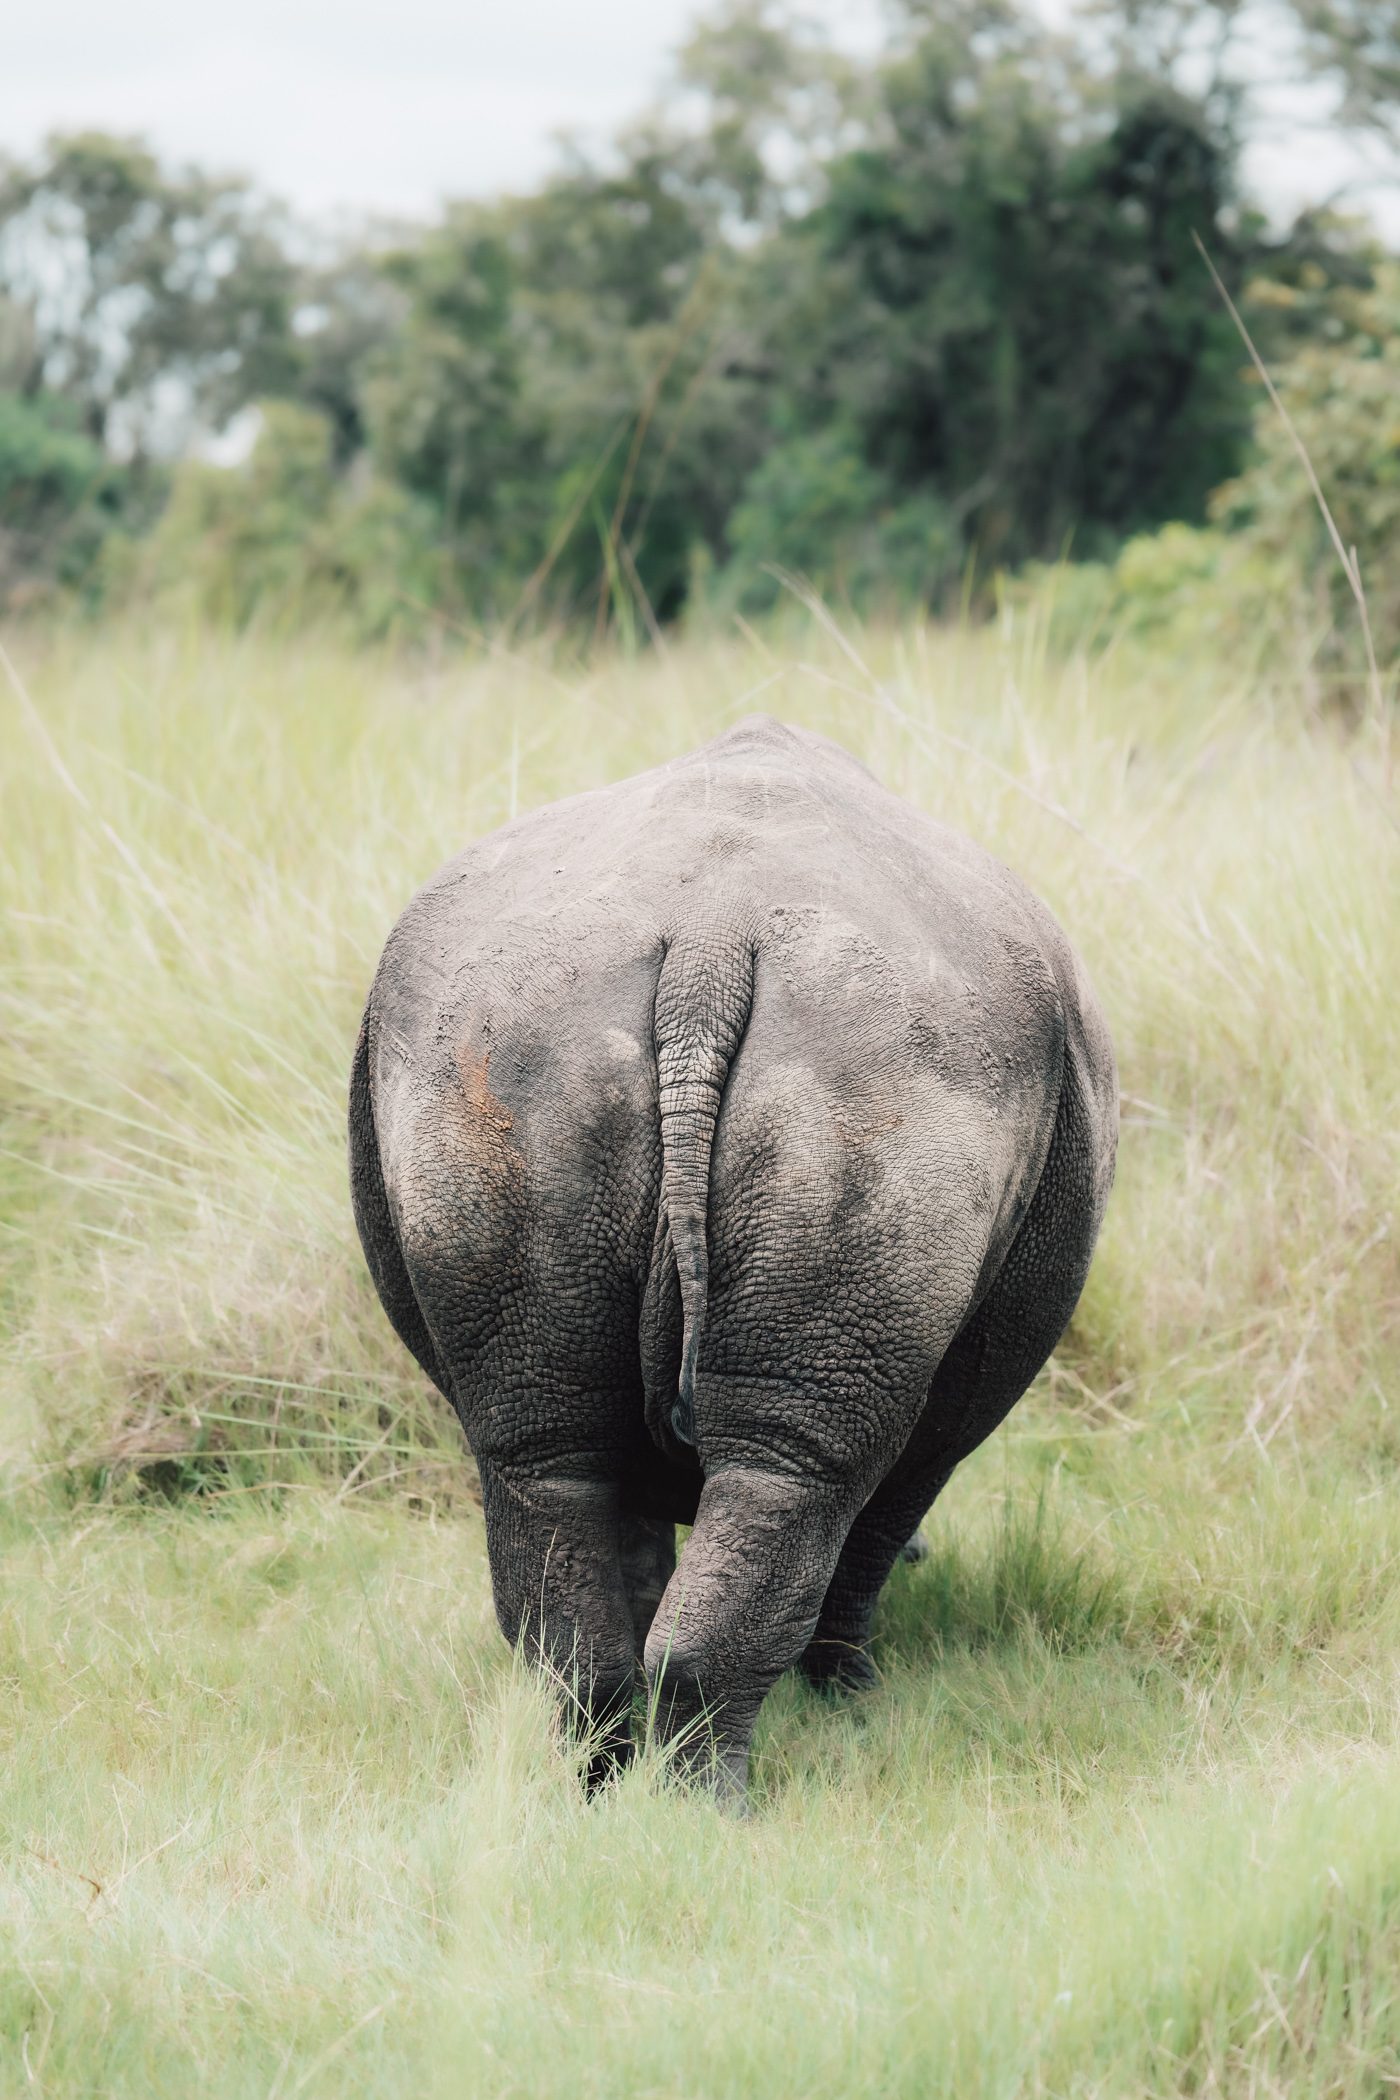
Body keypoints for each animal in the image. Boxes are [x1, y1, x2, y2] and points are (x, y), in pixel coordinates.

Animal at [349, 716, 1117, 1801]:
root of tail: (709, 946)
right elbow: (883, 1518)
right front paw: (852, 1703)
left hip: (510, 1048)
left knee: (547, 1454)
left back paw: (604, 1790)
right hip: (885, 1072)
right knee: (797, 1468)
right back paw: (714, 1806)